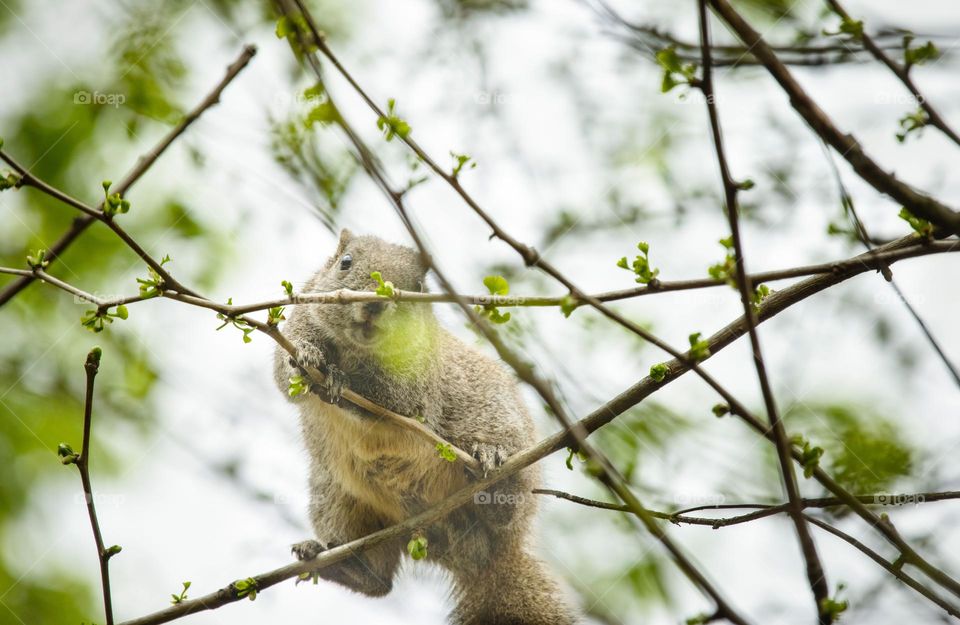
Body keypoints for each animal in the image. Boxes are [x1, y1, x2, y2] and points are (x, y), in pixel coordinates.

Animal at [274, 230, 572, 624]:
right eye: (345, 263)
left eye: (417, 287)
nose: (373, 306)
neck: (355, 350)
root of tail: (479, 559)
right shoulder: (300, 320)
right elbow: (285, 377)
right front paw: (309, 360)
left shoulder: (416, 383)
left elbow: (395, 403)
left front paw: (341, 382)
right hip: (336, 497)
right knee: (379, 582)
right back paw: (336, 563)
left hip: (506, 439)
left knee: (505, 514)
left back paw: (492, 470)